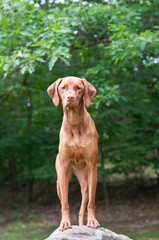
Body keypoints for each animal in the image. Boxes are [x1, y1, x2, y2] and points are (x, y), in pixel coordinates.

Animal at [46, 76, 100, 231]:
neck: (75, 123)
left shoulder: (92, 166)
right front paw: (64, 223)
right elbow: (65, 203)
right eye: (63, 87)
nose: (70, 98)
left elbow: (91, 202)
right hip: (59, 181)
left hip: (85, 181)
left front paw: (92, 221)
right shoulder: (64, 168)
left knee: (83, 207)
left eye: (78, 88)